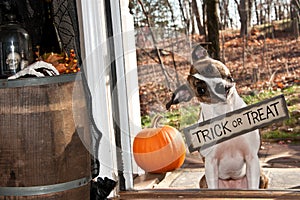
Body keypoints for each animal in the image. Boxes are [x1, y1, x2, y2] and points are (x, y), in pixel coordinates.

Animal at [166, 45, 270, 189]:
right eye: (201, 90)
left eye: (210, 68)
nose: (219, 87)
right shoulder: (211, 164)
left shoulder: (252, 158)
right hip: (203, 180)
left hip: (262, 175)